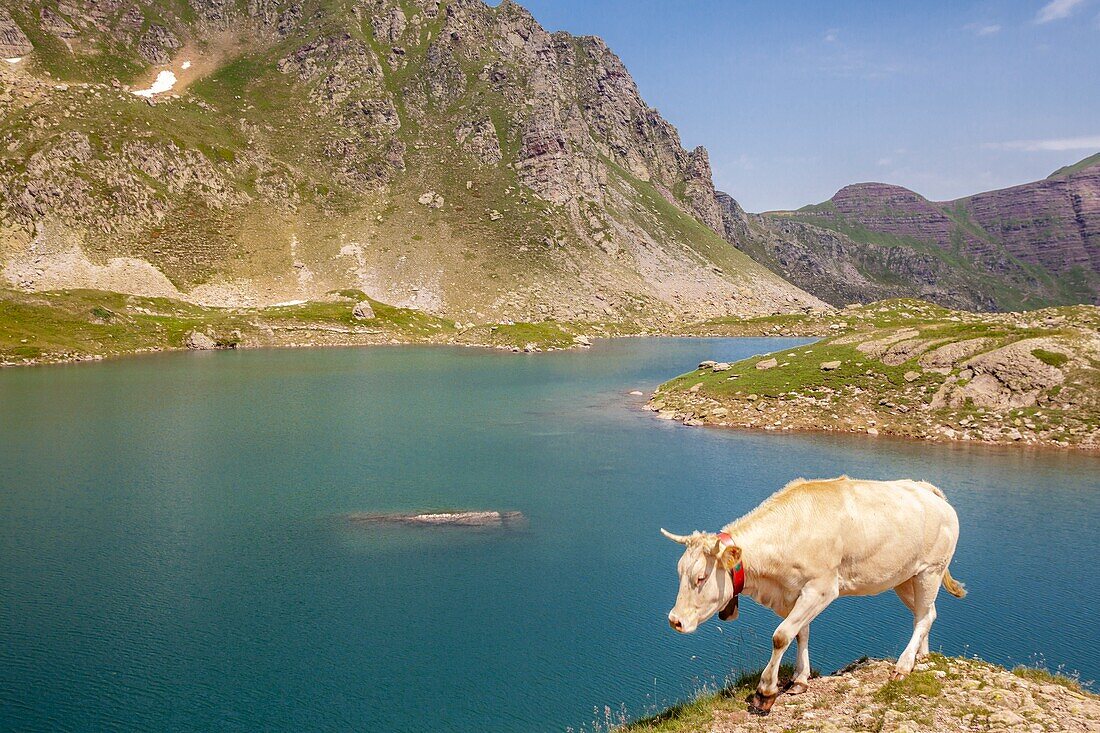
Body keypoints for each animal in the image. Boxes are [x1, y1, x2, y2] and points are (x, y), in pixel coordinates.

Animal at [660, 473, 963, 713]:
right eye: (679, 571)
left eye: (701, 577)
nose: (675, 620)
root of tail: (927, 489)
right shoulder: (794, 592)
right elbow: (800, 633)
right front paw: (799, 680)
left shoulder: (821, 588)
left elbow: (782, 635)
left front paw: (765, 692)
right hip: (904, 577)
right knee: (926, 612)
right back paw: (921, 656)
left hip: (930, 570)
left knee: (924, 615)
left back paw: (903, 664)